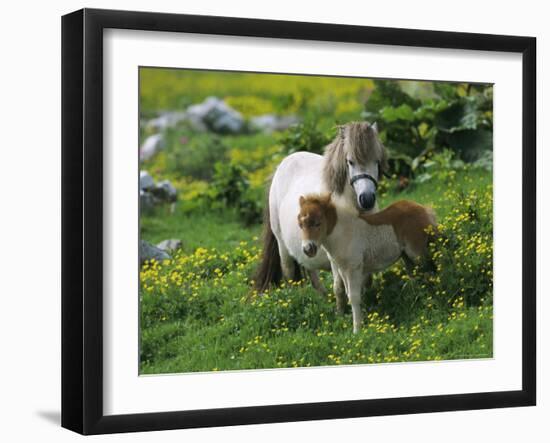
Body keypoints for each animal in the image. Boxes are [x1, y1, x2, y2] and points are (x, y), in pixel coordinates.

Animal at [256, 121, 390, 294]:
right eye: (350, 161)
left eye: (377, 161)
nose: (367, 199)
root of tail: (282, 164)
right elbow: (340, 287)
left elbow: (366, 280)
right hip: (282, 244)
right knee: (289, 271)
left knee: (310, 269)